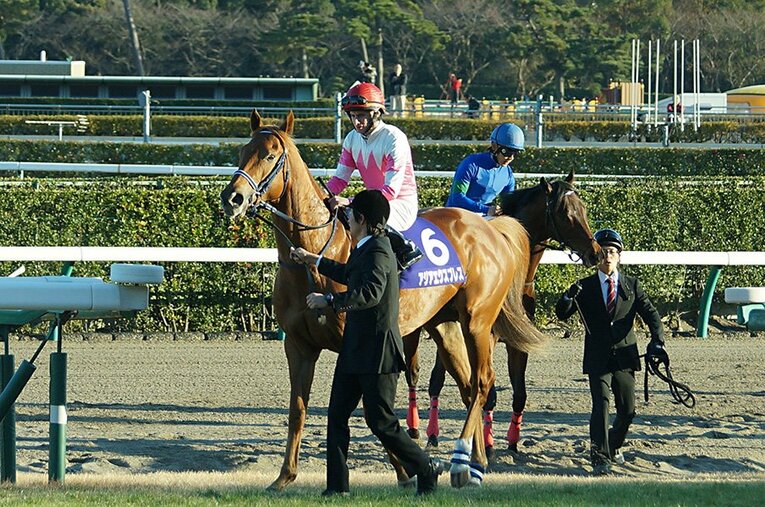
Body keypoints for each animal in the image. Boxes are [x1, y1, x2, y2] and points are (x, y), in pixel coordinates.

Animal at [220, 110, 543, 491]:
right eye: (243, 151)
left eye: (270, 156)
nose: (232, 198)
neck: (320, 253)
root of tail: (491, 228)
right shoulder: (298, 346)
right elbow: (298, 409)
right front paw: (285, 476)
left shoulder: (356, 346)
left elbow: (370, 410)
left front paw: (405, 472)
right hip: (445, 325)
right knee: (468, 388)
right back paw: (475, 462)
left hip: (477, 321)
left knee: (481, 383)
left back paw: (464, 463)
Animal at [403, 172, 600, 455]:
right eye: (564, 213)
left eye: (582, 208)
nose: (596, 253)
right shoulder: (486, 337)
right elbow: (489, 394)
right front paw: (487, 442)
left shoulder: (517, 344)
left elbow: (519, 394)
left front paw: (513, 440)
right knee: (414, 373)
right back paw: (416, 427)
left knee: (438, 377)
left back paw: (433, 431)